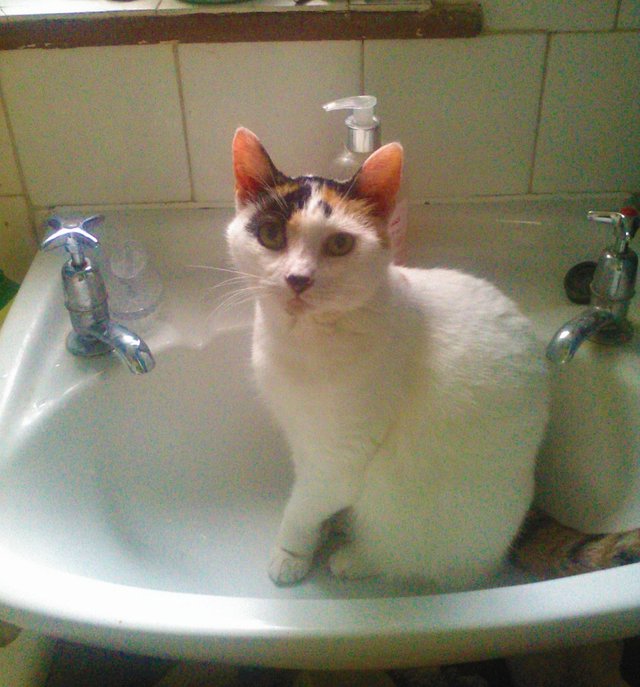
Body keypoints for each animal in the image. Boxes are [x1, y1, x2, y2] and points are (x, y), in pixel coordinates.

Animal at [226, 127, 552, 592]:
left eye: (339, 243)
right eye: (271, 234)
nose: (298, 279)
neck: (299, 340)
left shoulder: (337, 458)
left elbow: (302, 508)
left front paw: (291, 553)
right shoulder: (302, 439)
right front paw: (317, 533)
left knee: (411, 559)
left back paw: (355, 557)